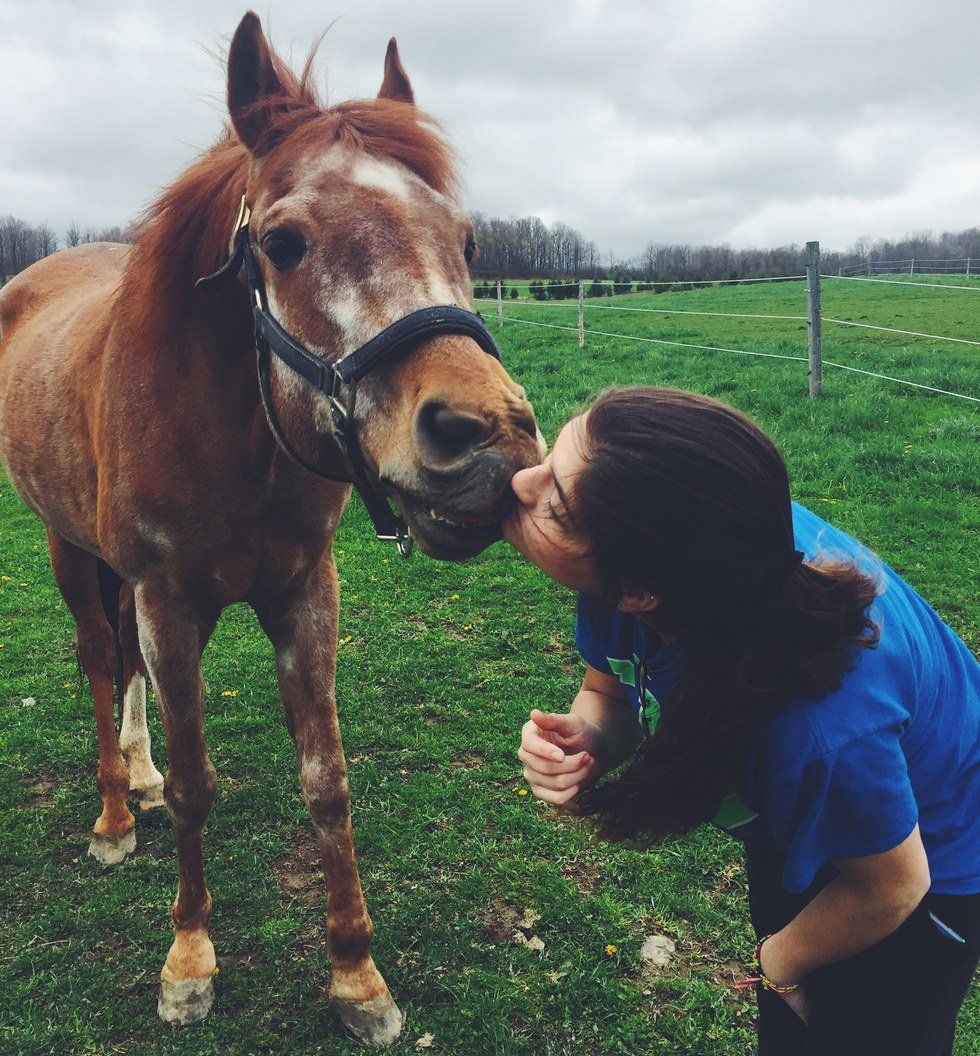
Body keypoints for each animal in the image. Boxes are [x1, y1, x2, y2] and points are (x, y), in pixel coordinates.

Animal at [0, 12, 541, 1046]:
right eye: (283, 243)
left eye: (466, 239)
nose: (489, 440)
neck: (231, 428)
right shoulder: (170, 602)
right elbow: (198, 785)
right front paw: (189, 960)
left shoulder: (302, 593)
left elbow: (326, 780)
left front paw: (357, 976)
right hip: (71, 552)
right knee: (98, 661)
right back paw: (115, 814)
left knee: (123, 669)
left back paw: (138, 774)